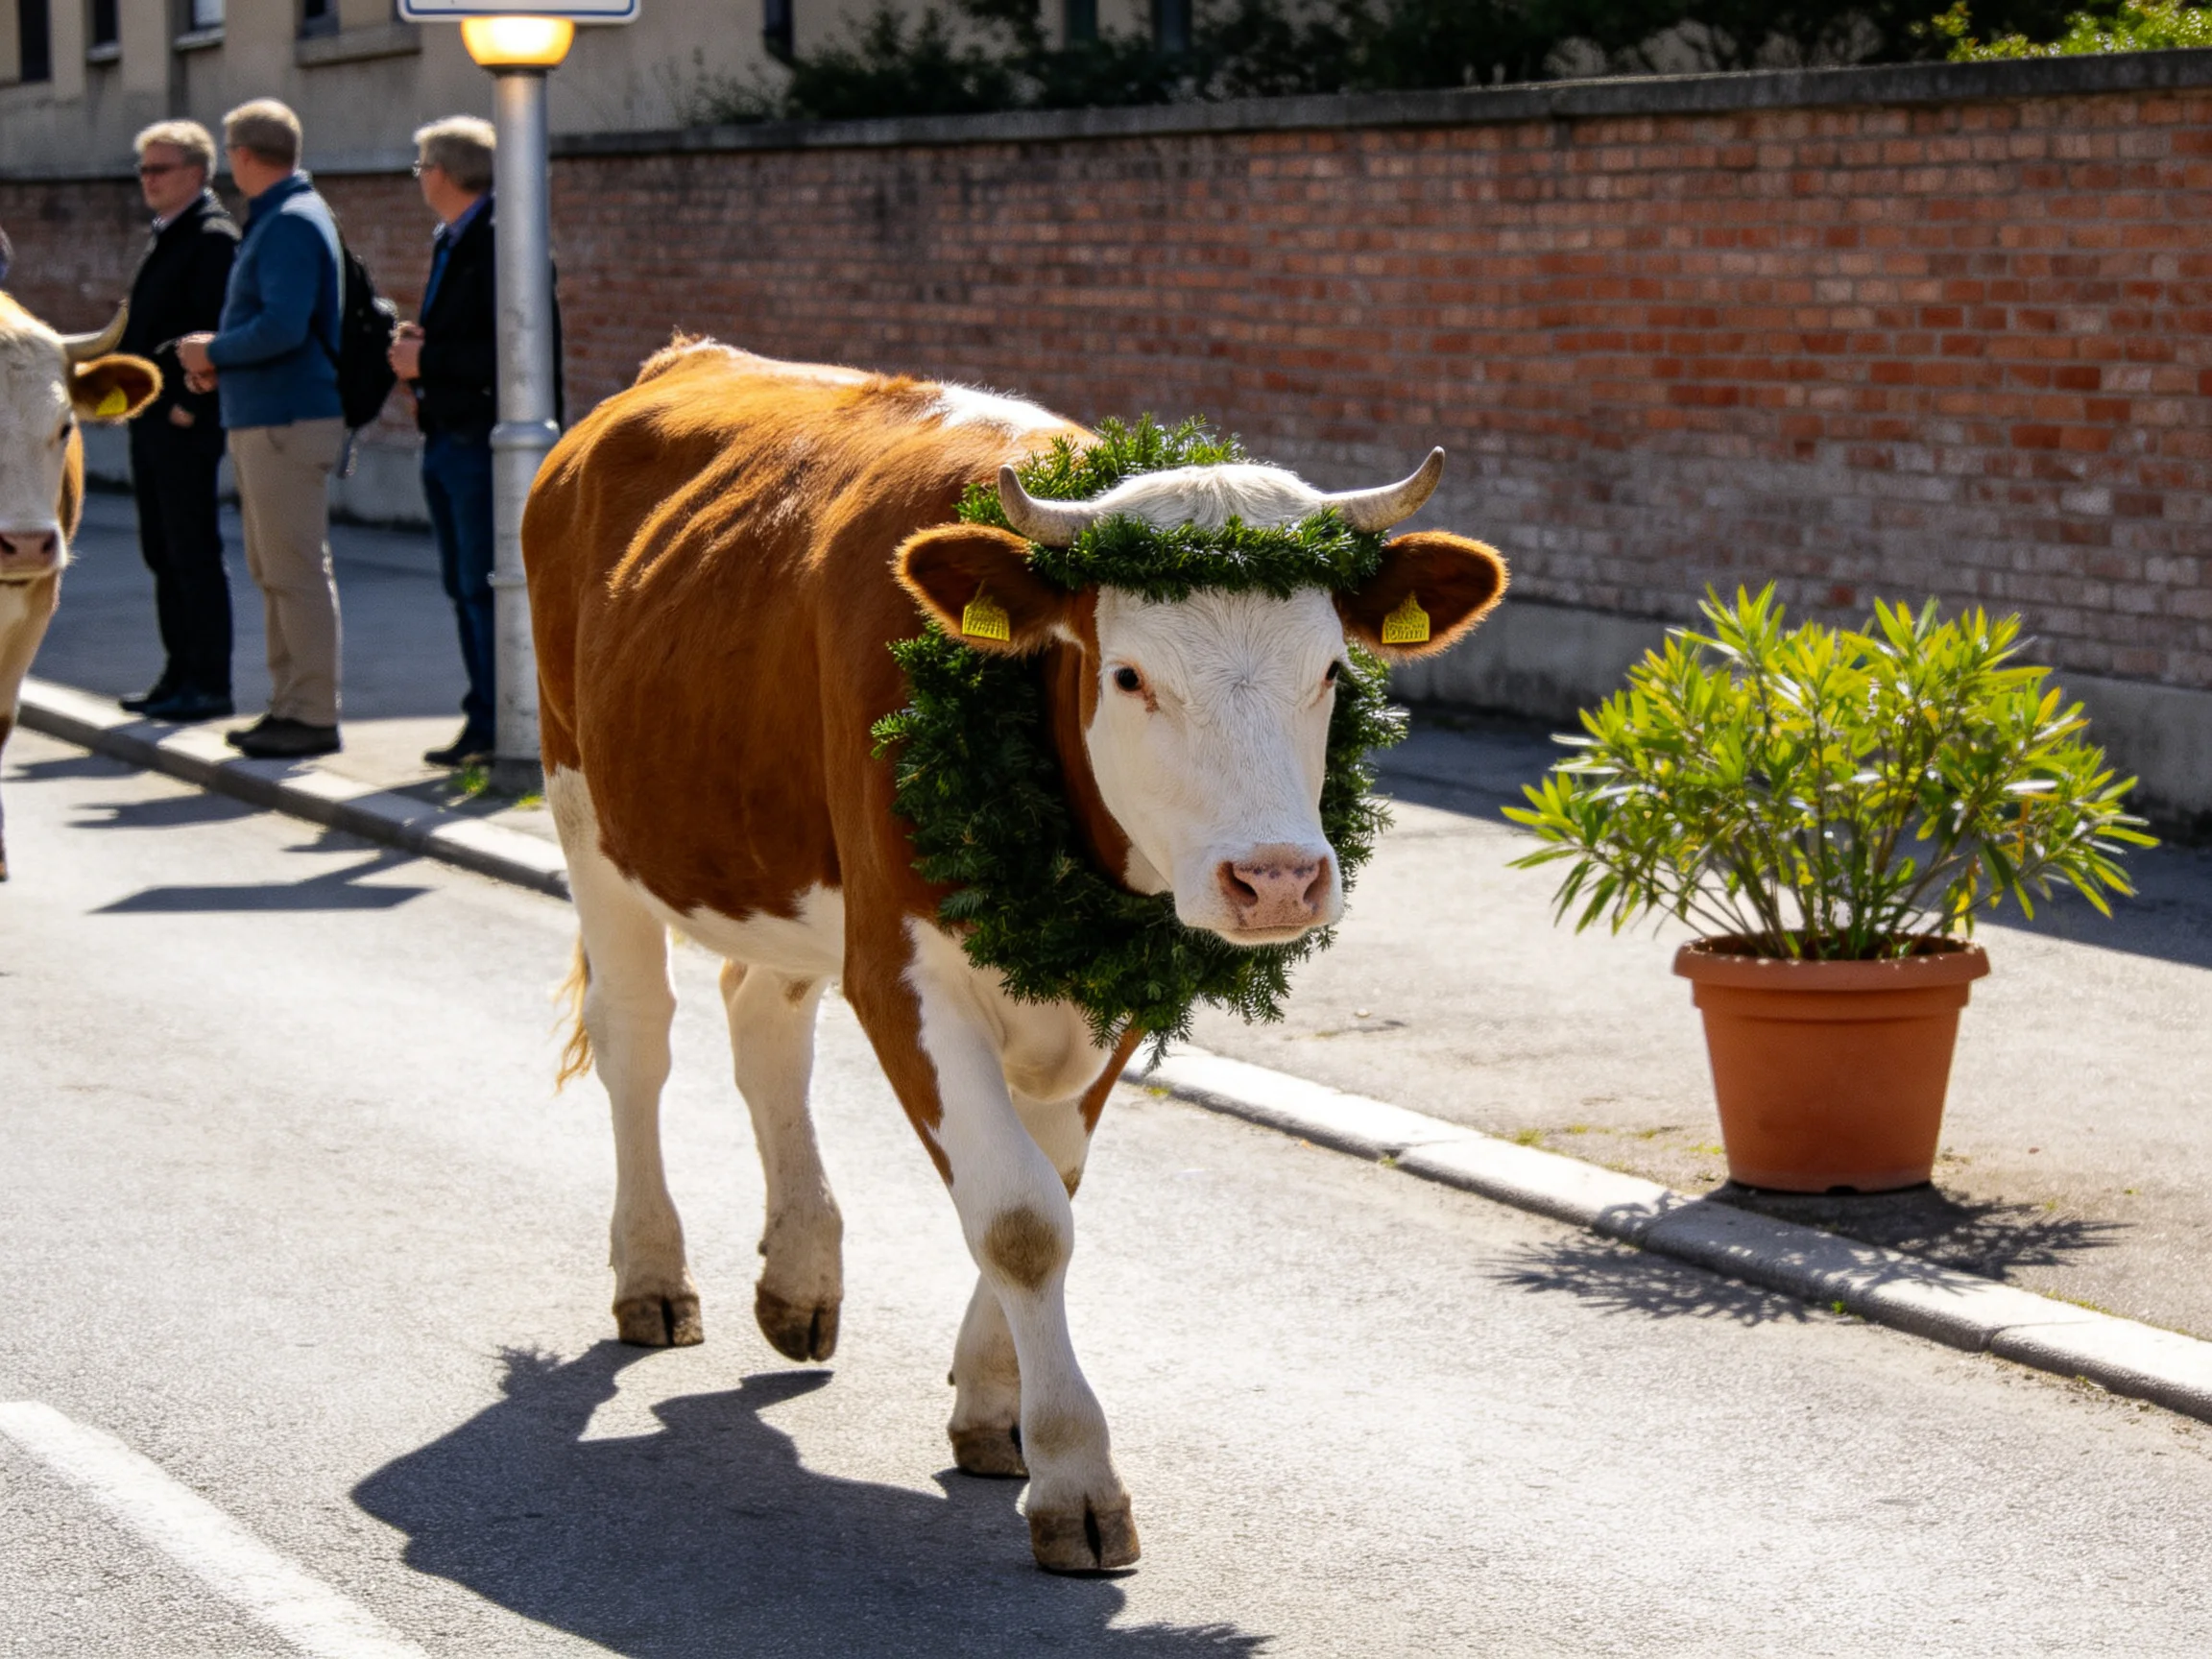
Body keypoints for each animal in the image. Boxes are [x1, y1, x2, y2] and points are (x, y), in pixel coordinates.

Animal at [523, 342, 1506, 1572]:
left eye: (1331, 669)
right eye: (1128, 676)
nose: (1277, 879)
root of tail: (681, 359)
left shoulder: (1116, 981)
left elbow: (1057, 1184)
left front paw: (998, 1411)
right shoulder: (898, 971)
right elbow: (1023, 1221)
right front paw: (1077, 1478)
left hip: (777, 867)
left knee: (763, 1027)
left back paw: (800, 1278)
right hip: (585, 804)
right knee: (639, 1043)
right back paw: (654, 1277)